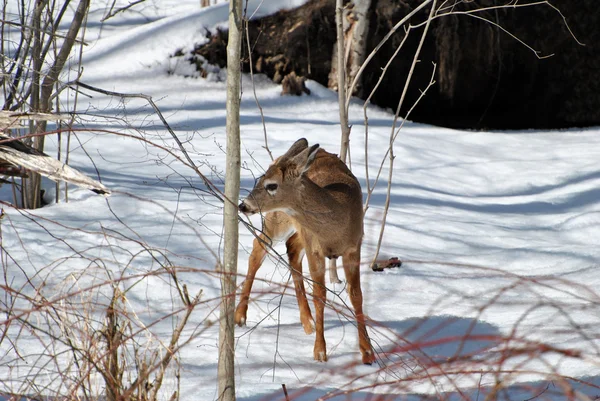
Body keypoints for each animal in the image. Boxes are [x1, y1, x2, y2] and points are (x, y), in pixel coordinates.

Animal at [236, 137, 372, 362]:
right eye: (259, 180)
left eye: (271, 185)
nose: (243, 205)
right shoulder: (314, 248)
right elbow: (320, 295)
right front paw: (320, 351)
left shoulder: (354, 246)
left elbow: (356, 295)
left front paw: (368, 352)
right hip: (278, 220)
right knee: (258, 249)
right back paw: (239, 316)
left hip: (299, 230)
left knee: (290, 248)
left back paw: (308, 322)